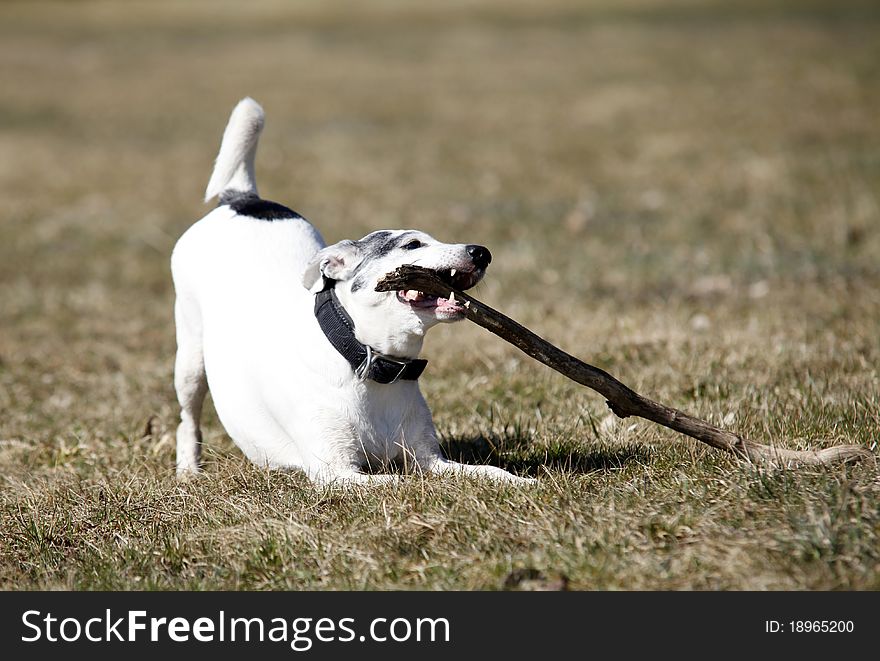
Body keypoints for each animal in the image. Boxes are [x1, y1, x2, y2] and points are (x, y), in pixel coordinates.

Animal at [173, 95, 528, 482]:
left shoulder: (431, 460)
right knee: (187, 419)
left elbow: (490, 471)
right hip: (189, 360)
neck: (372, 364)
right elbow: (396, 482)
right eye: (413, 244)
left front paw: (521, 482)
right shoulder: (337, 473)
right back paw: (189, 470)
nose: (482, 252)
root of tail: (243, 199)